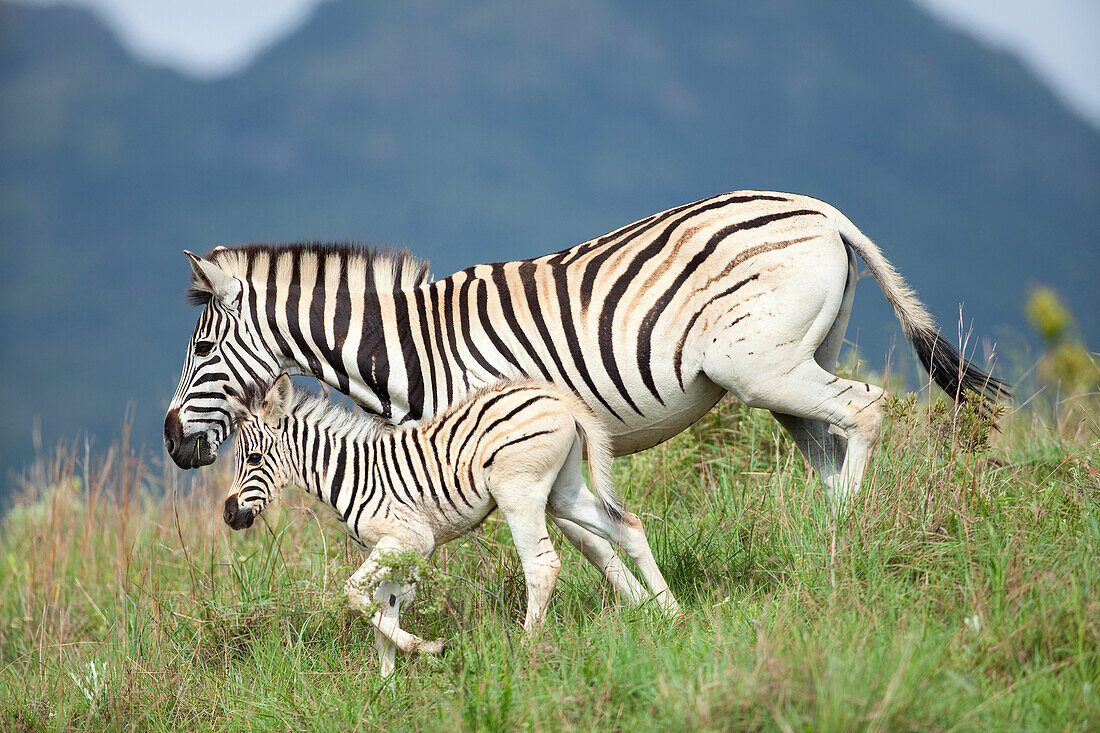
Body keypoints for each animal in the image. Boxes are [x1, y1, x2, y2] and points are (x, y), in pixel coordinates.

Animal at [165, 191, 1007, 506]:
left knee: (866, 408)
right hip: (793, 365)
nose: (171, 438)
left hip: (764, 366)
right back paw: (825, 540)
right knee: (829, 443)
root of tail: (822, 208)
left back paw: (852, 534)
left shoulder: (483, 435)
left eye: (203, 348)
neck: (414, 349)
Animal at [222, 372, 673, 673]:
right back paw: (669, 613)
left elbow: (354, 594)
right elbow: (385, 612)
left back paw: (525, 650)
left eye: (254, 459)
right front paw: (386, 686)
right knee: (628, 527)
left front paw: (428, 648)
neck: (351, 474)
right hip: (564, 489)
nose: (227, 515)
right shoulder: (396, 553)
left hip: (519, 491)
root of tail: (553, 394)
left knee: (542, 565)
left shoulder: (408, 540)